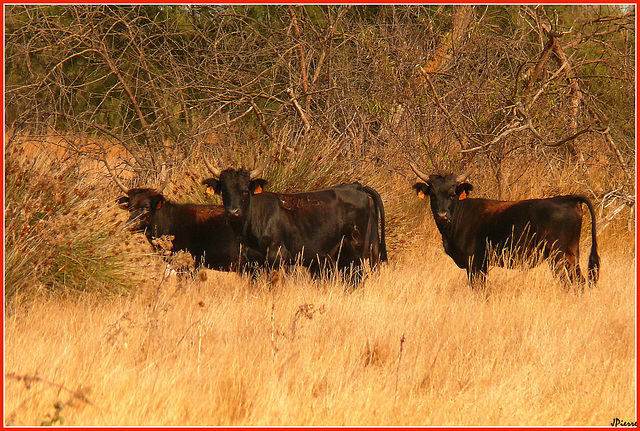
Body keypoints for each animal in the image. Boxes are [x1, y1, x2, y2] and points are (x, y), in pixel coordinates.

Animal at [202, 160, 388, 282]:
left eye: (244, 191)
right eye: (224, 191)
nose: (233, 212)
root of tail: (355, 186)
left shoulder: (277, 258)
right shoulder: (252, 262)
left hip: (355, 251)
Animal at [410, 163, 600, 290]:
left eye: (452, 194)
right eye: (433, 194)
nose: (442, 215)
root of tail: (567, 198)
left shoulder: (476, 263)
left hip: (557, 256)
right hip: (571, 253)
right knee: (580, 282)